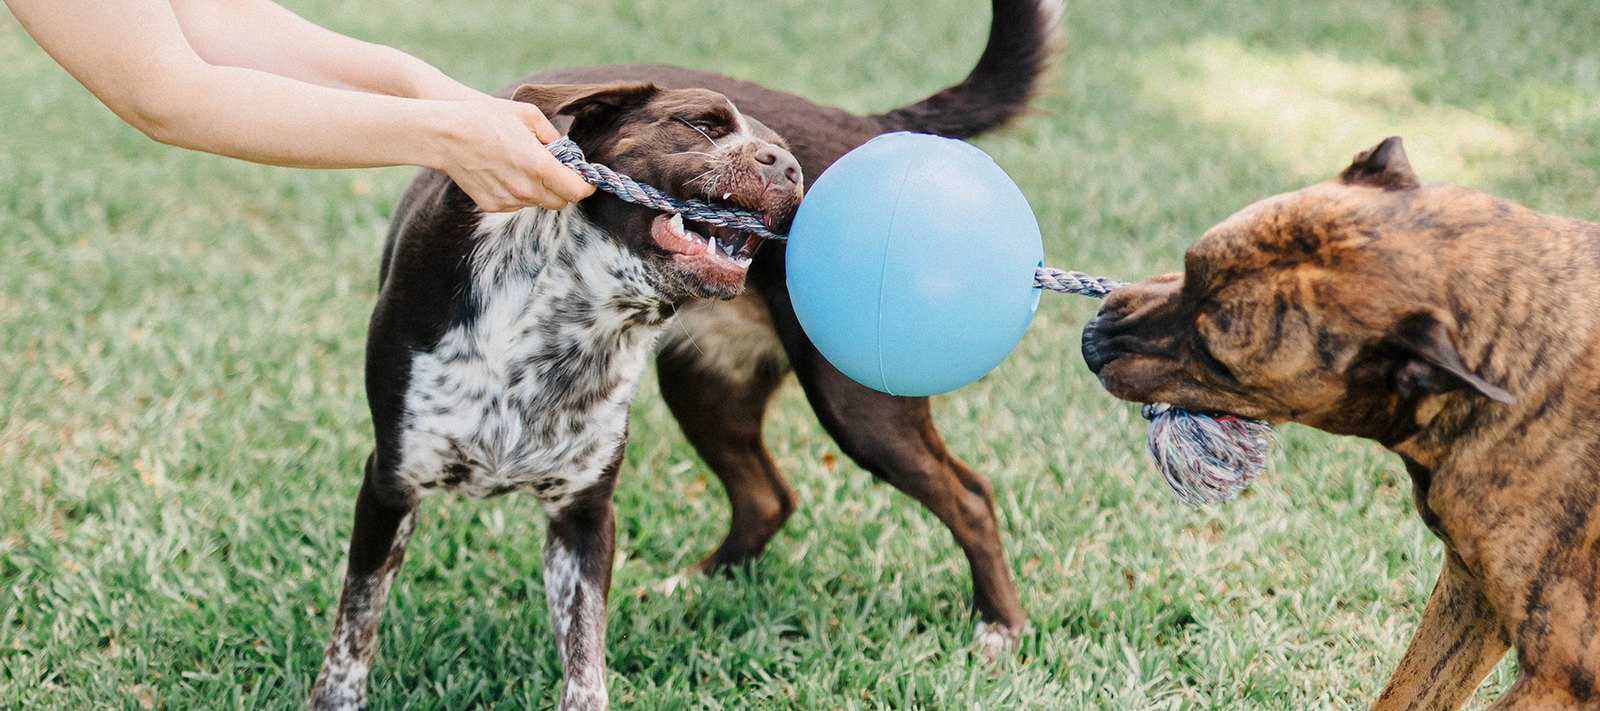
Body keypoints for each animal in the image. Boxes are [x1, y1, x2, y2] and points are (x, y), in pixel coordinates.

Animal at [1081, 136, 1600, 707]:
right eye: (1189, 265)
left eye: (1217, 362)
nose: (1091, 343)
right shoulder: (1471, 593)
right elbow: (1407, 693)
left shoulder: (1562, 676)